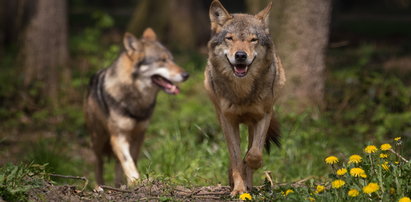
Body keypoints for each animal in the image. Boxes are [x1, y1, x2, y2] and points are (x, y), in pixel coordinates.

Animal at [84, 28, 190, 186]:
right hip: (98, 139)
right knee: (99, 164)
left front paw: (132, 183)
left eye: (172, 60)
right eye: (162, 60)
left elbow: (131, 160)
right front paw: (135, 181)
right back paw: (100, 186)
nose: (186, 75)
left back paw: (119, 185)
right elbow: (127, 161)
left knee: (117, 164)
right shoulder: (118, 136)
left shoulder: (139, 135)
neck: (137, 99)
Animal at [204, 0, 286, 196]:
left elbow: (254, 154)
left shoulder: (263, 116)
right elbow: (235, 159)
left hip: (254, 122)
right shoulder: (228, 120)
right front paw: (239, 188)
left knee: (251, 147)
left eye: (253, 39)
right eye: (230, 38)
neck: (242, 91)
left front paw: (251, 167)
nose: (240, 55)